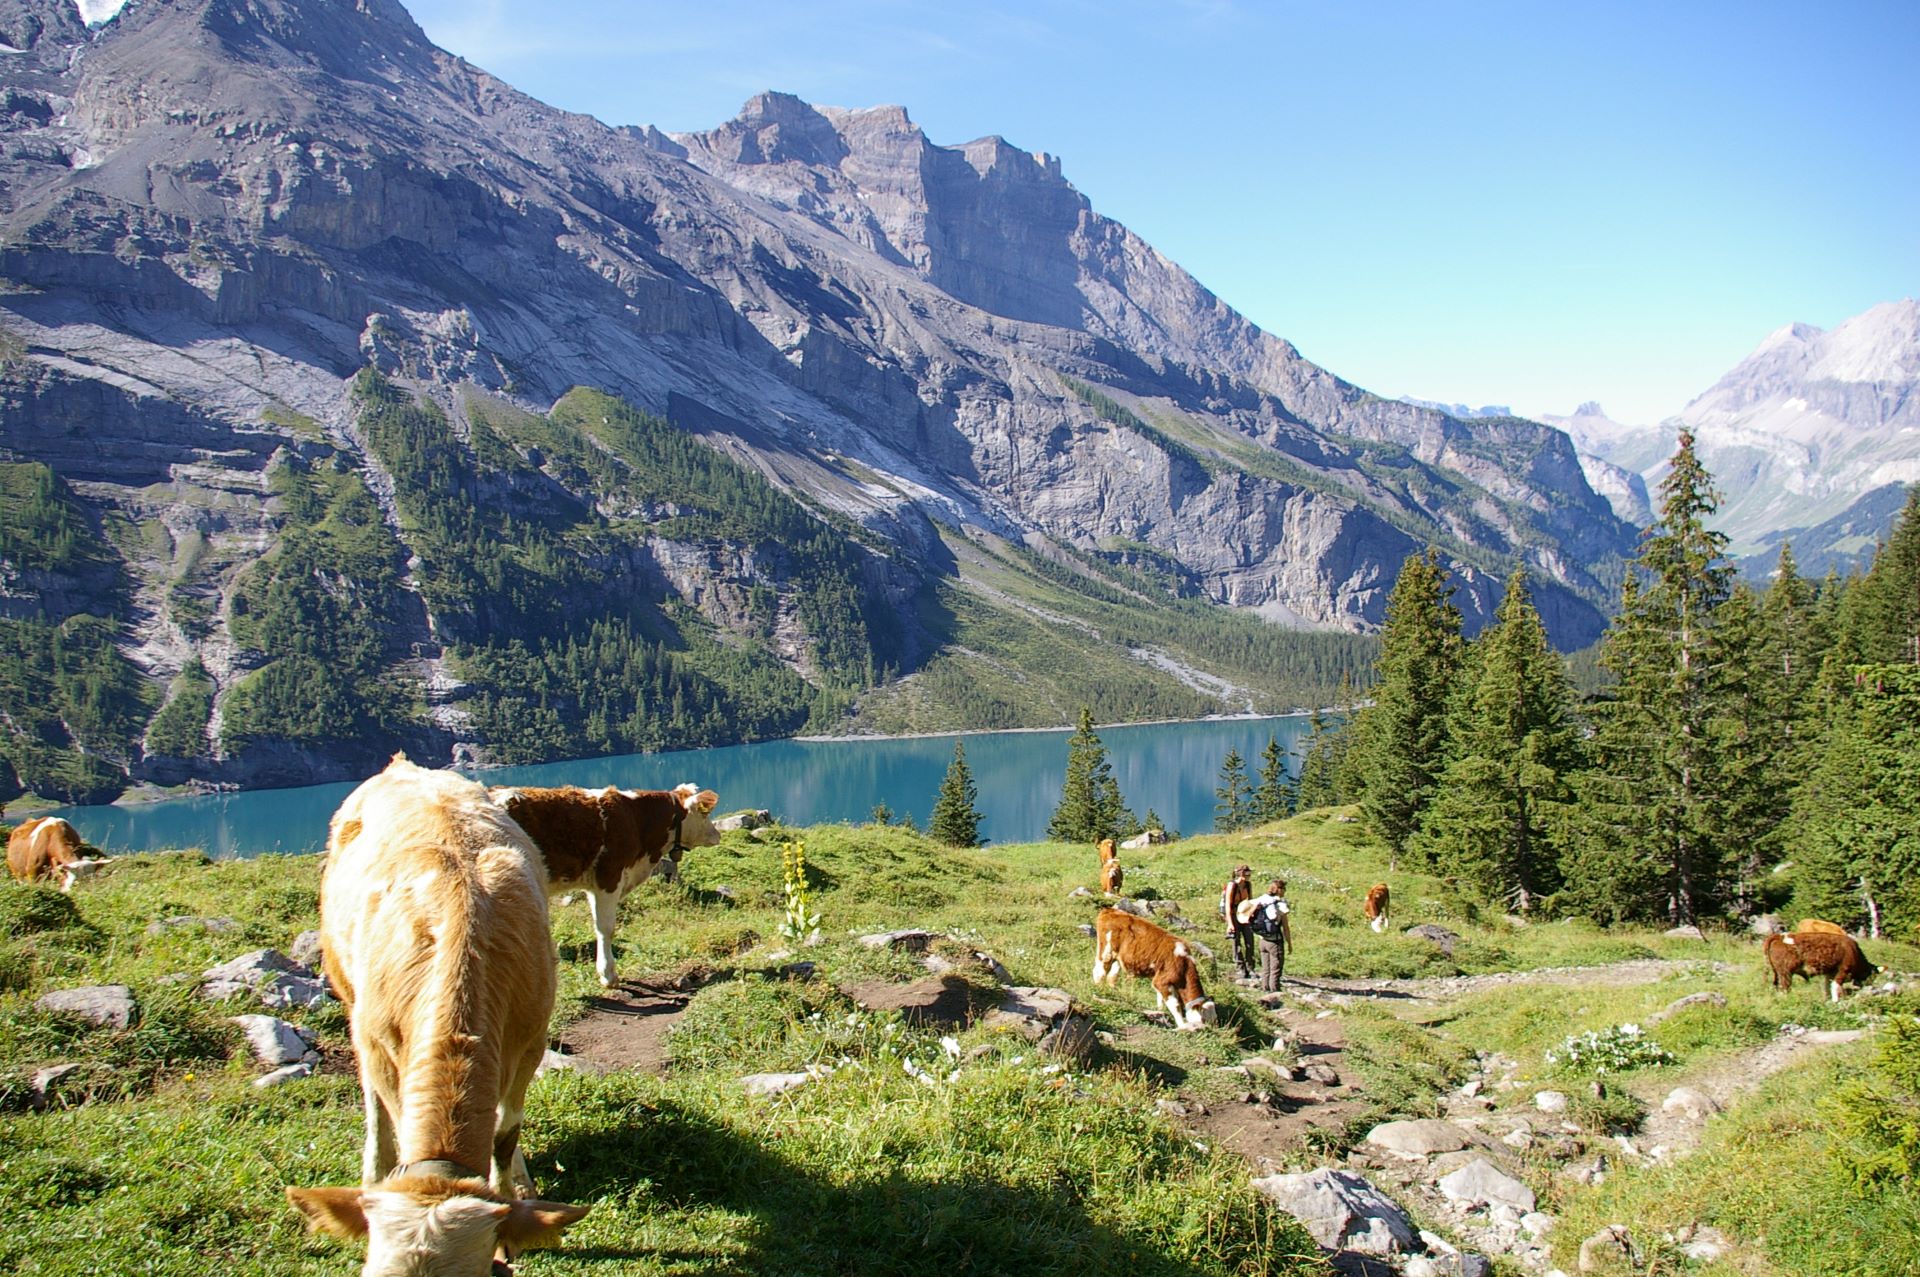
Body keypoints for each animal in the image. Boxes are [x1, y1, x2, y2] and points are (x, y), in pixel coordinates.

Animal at [284, 756, 583, 1275]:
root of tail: (403, 765)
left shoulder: (531, 1040)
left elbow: (505, 1135)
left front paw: (510, 1197)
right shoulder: (382, 1044)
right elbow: (397, 1118)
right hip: (350, 1000)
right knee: (373, 1103)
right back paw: (374, 1172)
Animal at [487, 775, 721, 983]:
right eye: (704, 814)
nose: (717, 835)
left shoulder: (593, 884)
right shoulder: (609, 876)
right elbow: (606, 928)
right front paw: (608, 975)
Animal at [1090, 902, 1221, 1029]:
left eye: (1215, 1019)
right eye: (1203, 1020)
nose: (1213, 1030)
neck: (1184, 965)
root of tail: (1110, 910)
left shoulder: (1161, 979)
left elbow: (1160, 998)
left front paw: (1160, 1010)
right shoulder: (1163, 981)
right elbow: (1175, 1005)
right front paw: (1182, 1024)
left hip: (1117, 957)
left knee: (1111, 976)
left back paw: (1114, 993)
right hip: (1106, 951)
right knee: (1100, 972)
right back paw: (1100, 991)